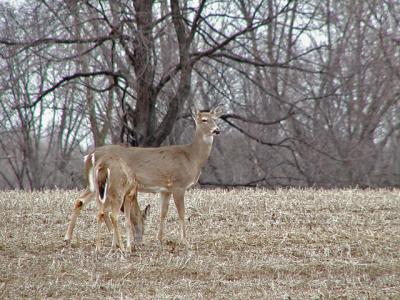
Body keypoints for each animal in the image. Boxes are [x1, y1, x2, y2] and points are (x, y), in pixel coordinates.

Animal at [64, 105, 223, 246]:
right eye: (204, 120)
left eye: (216, 119)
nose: (217, 130)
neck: (191, 157)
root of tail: (90, 155)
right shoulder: (179, 185)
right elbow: (181, 213)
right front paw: (185, 241)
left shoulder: (165, 189)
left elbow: (163, 213)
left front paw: (160, 239)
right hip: (109, 185)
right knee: (101, 207)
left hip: (95, 184)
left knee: (81, 201)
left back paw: (68, 238)